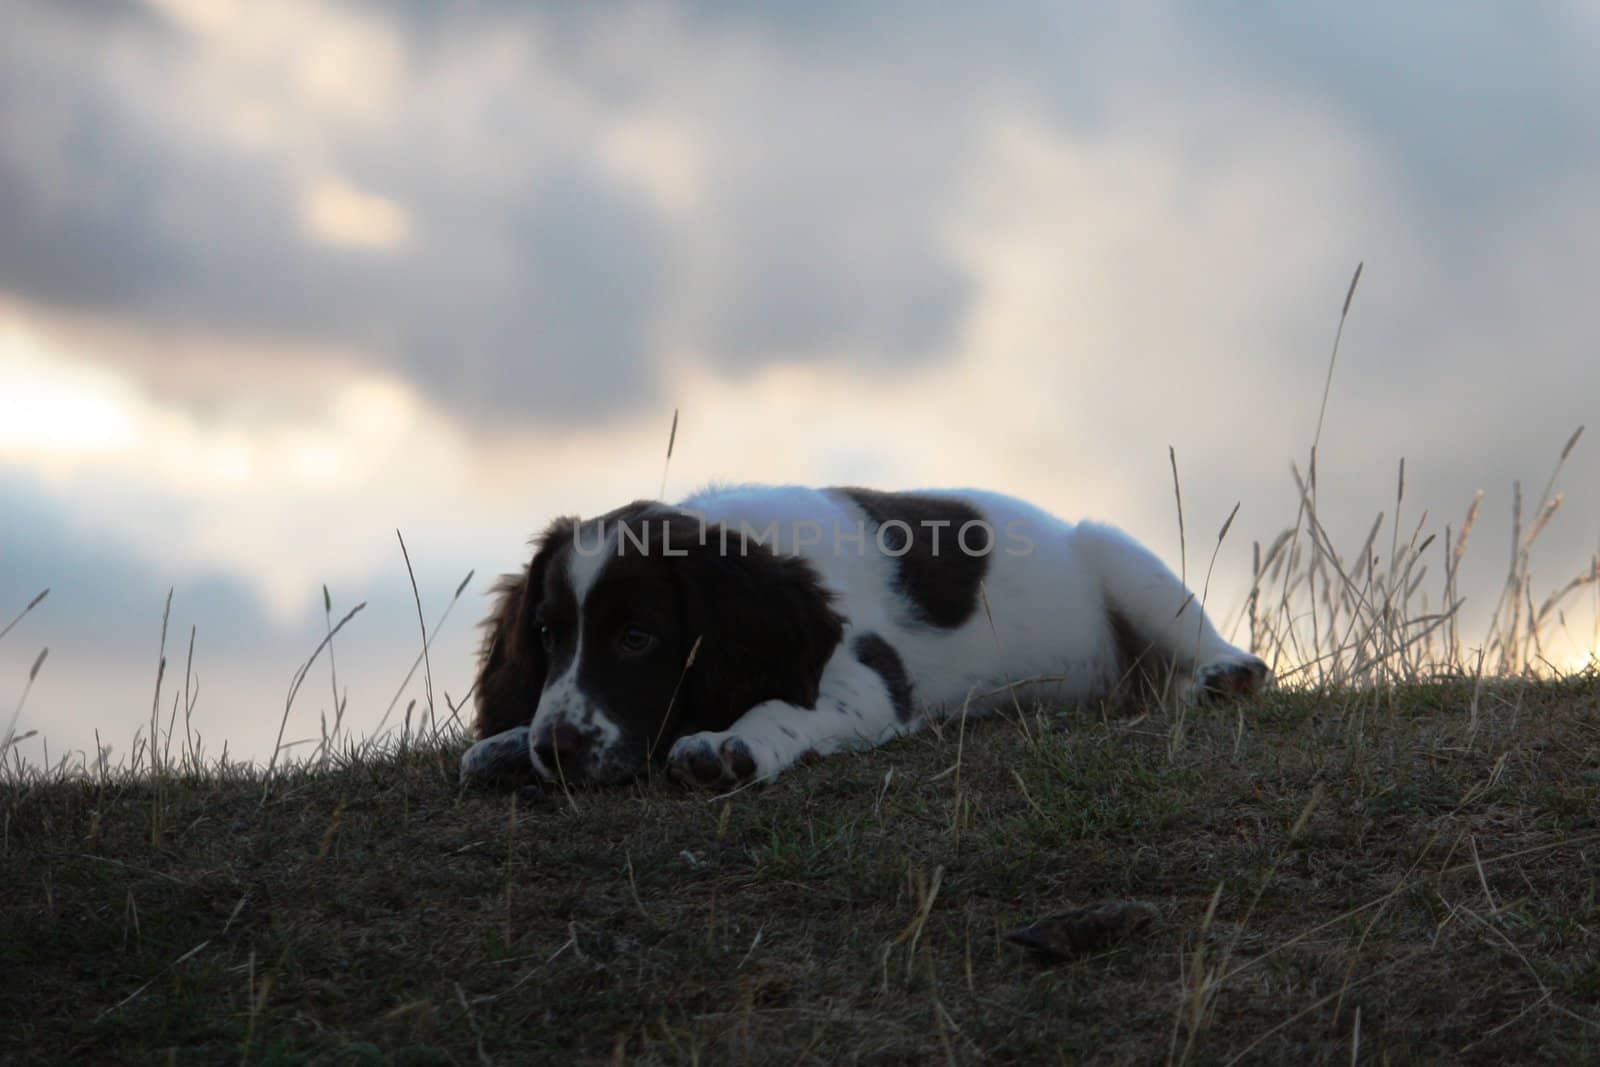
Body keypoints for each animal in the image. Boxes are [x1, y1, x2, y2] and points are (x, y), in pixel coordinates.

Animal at [457, 486, 1267, 793]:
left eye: (637, 636)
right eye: (546, 635)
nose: (555, 750)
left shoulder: (872, 679)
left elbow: (783, 706)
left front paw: (726, 742)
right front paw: (507, 743)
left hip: (1120, 559)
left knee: (1215, 645)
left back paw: (1223, 674)